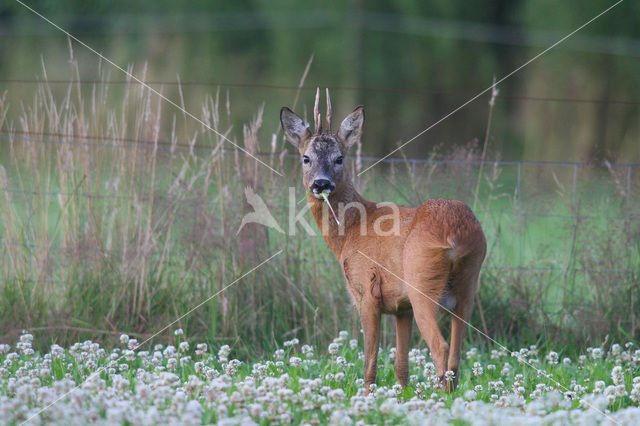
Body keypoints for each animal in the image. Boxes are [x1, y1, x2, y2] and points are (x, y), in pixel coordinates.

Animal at [280, 90, 484, 392]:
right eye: (306, 158)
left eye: (339, 158)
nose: (321, 184)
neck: (352, 231)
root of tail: (455, 232)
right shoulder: (402, 307)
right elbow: (401, 367)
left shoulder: (366, 291)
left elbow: (370, 364)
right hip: (468, 285)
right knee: (457, 355)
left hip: (422, 283)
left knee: (442, 348)